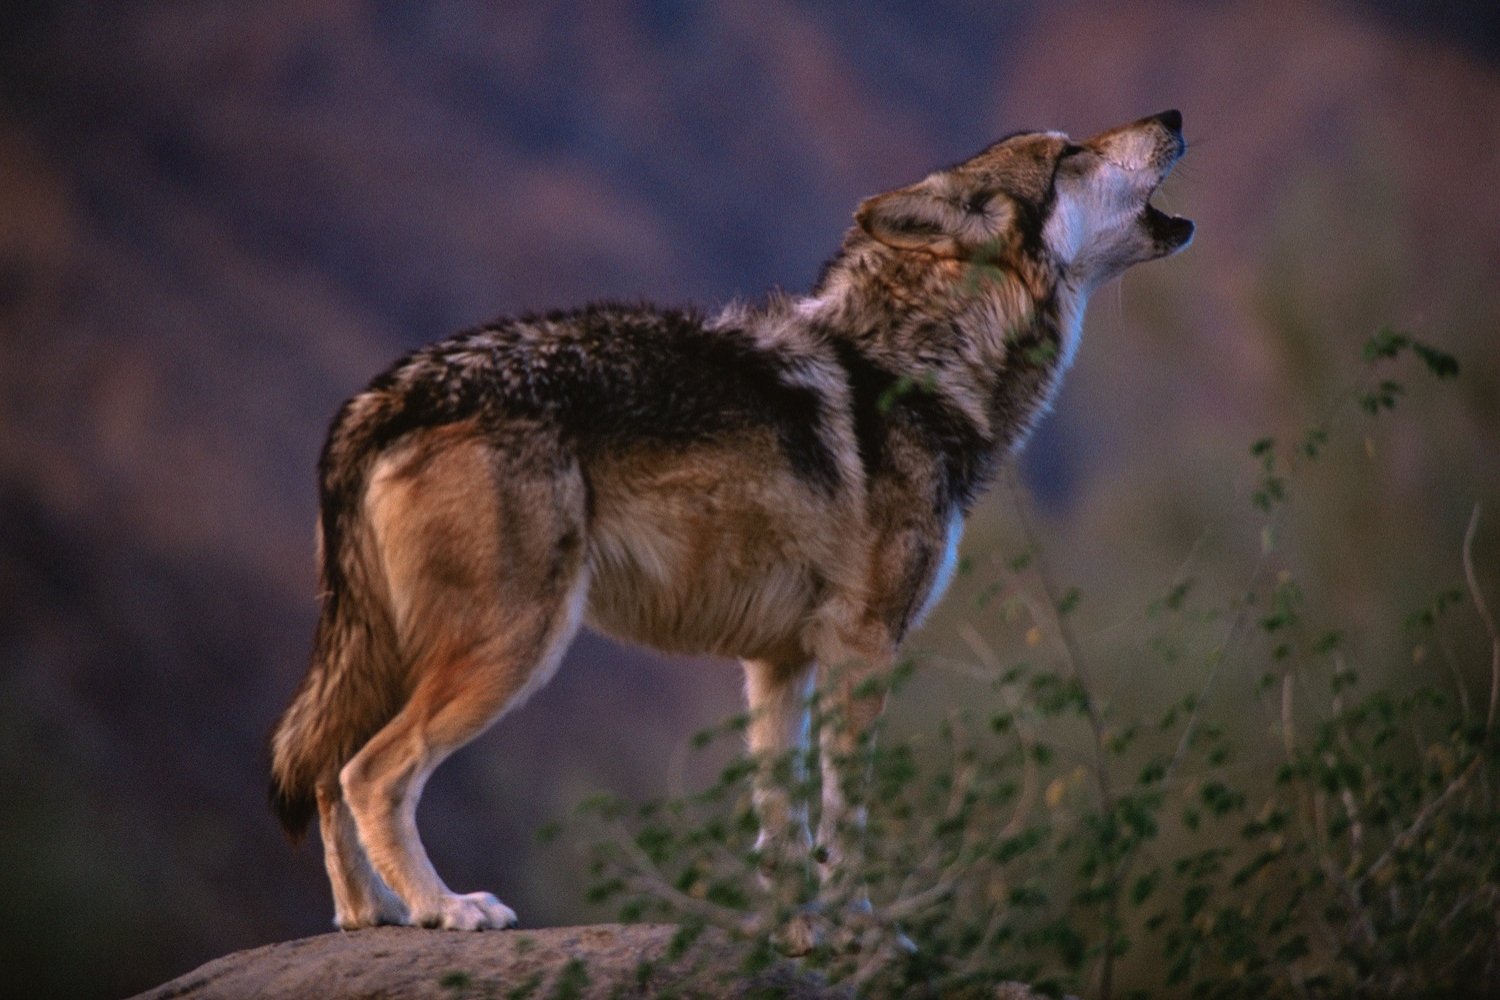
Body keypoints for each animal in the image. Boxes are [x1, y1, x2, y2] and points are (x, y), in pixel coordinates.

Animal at [268, 111, 1193, 932]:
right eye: (1069, 153)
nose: (1174, 116)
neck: (912, 368)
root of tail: (382, 395)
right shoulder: (862, 649)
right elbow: (845, 817)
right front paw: (863, 931)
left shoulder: (779, 663)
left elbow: (784, 825)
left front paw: (796, 933)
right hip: (512, 649)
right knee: (370, 772)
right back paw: (446, 909)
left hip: (400, 650)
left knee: (323, 768)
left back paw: (370, 915)